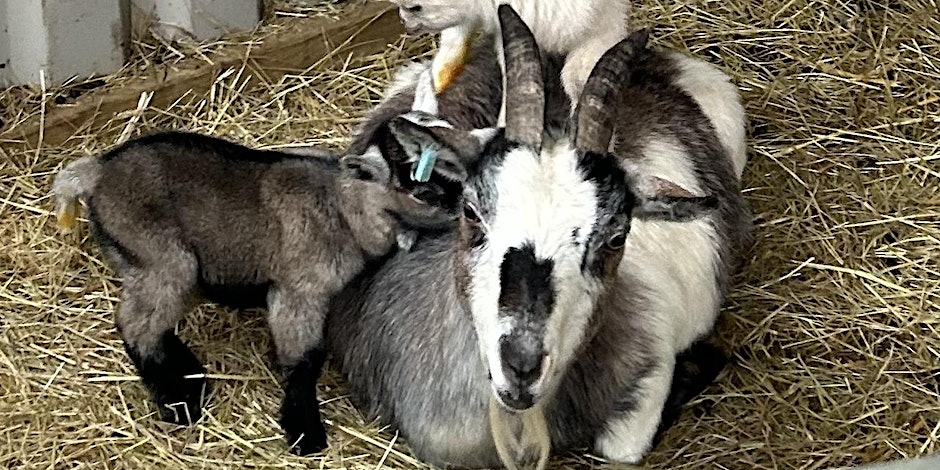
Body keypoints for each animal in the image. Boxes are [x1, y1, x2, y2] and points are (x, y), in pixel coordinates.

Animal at [52, 127, 475, 455]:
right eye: (422, 190)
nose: (467, 206)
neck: (339, 208)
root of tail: (97, 171)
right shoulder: (297, 293)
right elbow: (304, 359)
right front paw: (305, 433)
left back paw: (190, 379)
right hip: (163, 261)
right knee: (136, 326)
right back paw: (178, 404)